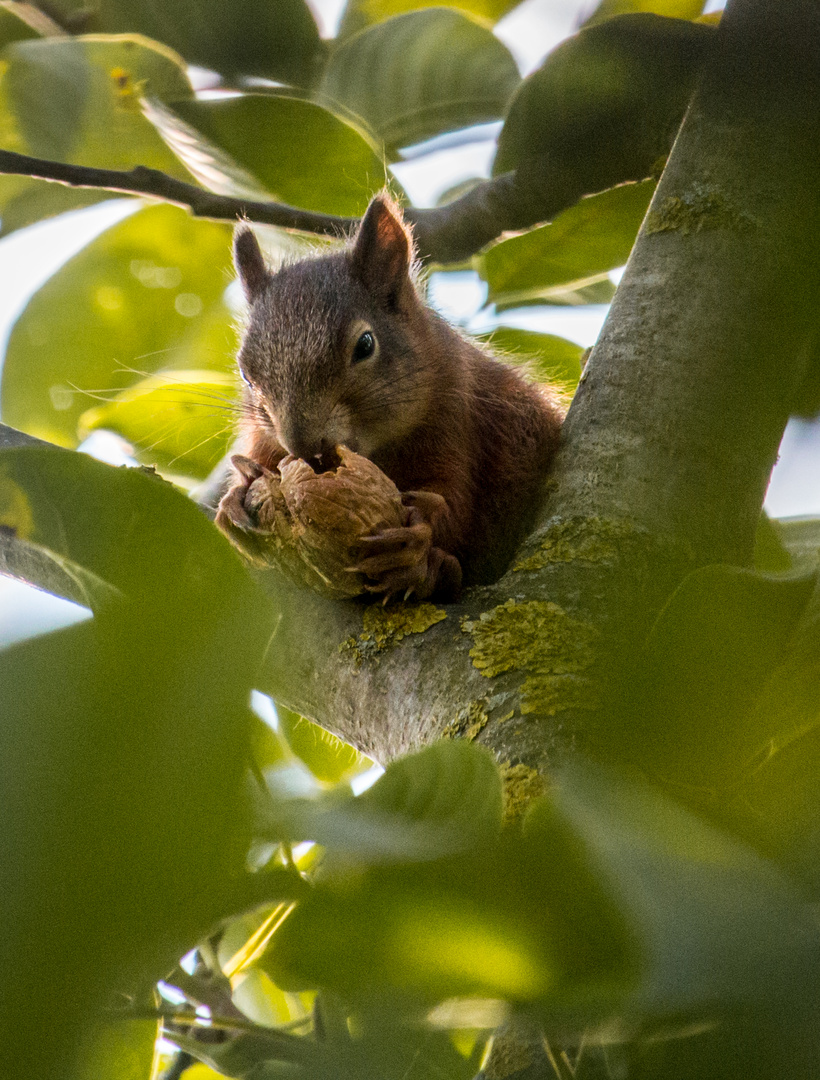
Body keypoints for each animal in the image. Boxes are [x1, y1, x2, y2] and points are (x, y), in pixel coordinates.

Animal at [214, 194, 566, 600]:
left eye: (366, 345)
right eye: (245, 373)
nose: (302, 444)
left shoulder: (455, 419)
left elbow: (454, 499)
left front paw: (415, 541)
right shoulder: (264, 441)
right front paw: (235, 498)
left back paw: (432, 569)